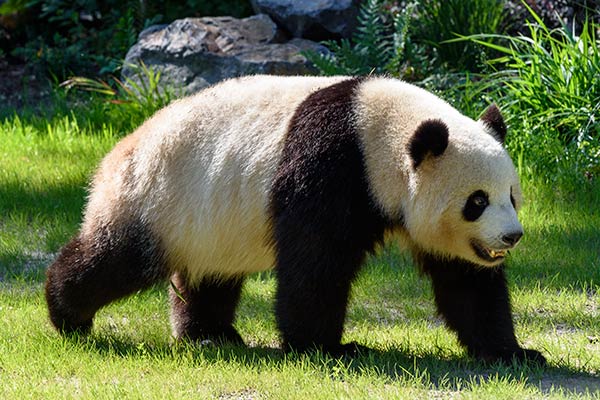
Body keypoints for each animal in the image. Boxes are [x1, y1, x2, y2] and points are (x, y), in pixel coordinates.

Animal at [45, 76, 544, 366]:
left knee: (209, 275)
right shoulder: (332, 166)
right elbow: (314, 263)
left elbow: (465, 279)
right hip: (156, 197)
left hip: (206, 216)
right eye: (476, 201)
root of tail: (120, 149)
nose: (512, 237)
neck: (382, 132)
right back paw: (67, 313)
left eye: (512, 197)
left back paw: (210, 335)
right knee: (116, 257)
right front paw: (328, 348)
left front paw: (514, 353)